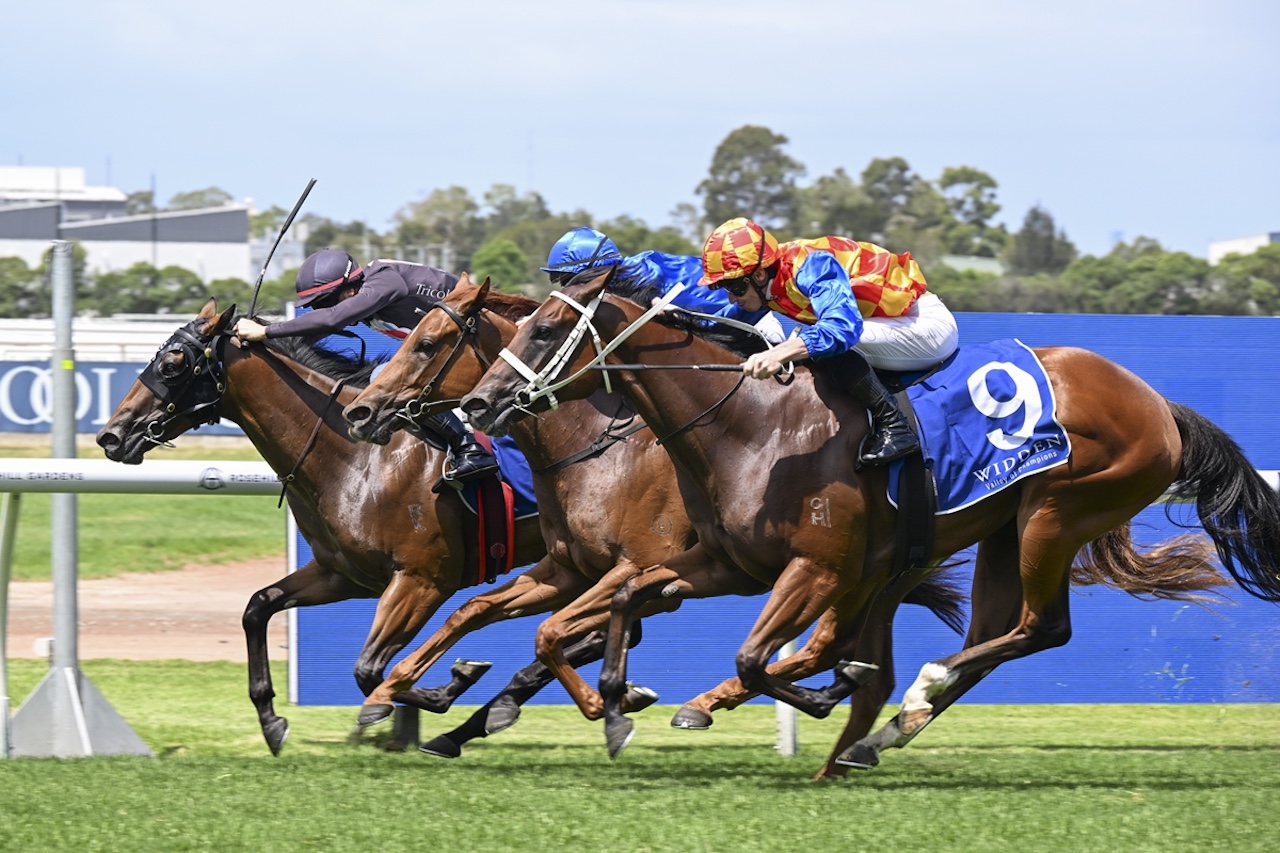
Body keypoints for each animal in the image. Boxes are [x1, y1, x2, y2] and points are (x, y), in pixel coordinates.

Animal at [93, 297, 545, 753]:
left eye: (172, 363)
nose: (111, 436)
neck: (360, 459)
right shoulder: (342, 575)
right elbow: (258, 608)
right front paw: (271, 721)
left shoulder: (424, 579)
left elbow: (369, 671)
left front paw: (448, 686)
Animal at [335, 275, 962, 773]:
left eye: (427, 344)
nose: (360, 410)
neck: (597, 448)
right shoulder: (569, 568)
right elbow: (480, 611)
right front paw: (404, 688)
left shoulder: (634, 563)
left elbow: (554, 632)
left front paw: (611, 706)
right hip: (873, 573)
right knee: (848, 656)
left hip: (850, 567)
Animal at [455, 268, 1274, 758]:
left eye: (544, 329)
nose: (479, 405)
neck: (749, 424)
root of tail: (1157, 403)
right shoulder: (723, 562)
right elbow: (625, 600)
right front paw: (621, 703)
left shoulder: (815, 565)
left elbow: (754, 655)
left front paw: (799, 696)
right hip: (1000, 531)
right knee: (992, 633)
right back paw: (881, 732)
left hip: (1056, 513)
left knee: (1041, 629)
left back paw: (909, 693)